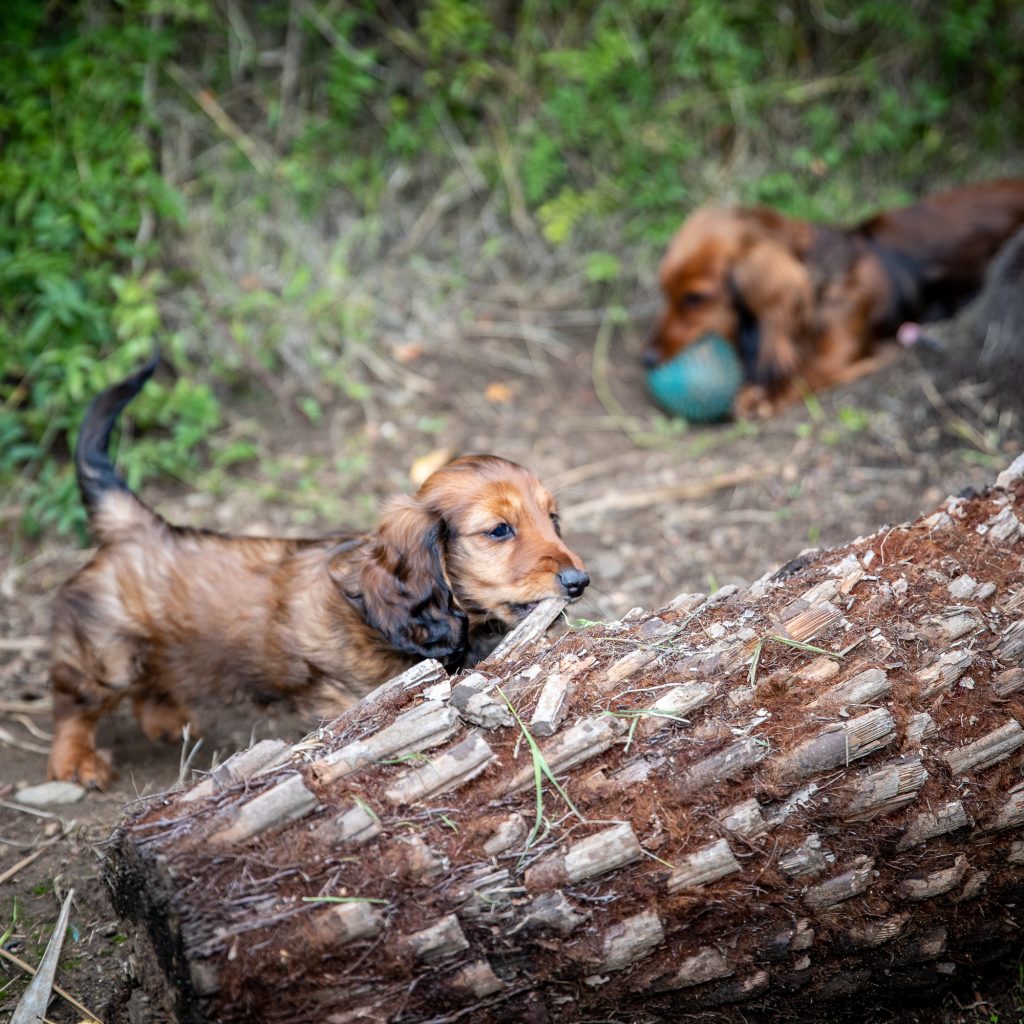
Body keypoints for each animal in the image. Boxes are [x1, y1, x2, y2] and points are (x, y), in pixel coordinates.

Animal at [48, 356, 589, 786]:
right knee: (74, 702)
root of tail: (137, 523)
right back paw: (75, 760)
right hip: (107, 653)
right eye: (499, 530)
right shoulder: (346, 699)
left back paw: (166, 720)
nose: (579, 583)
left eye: (552, 518)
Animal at [647, 180, 1024, 415]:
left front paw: (763, 396)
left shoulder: (842, 348)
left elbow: (809, 370)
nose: (646, 358)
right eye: (664, 292)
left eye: (695, 298)